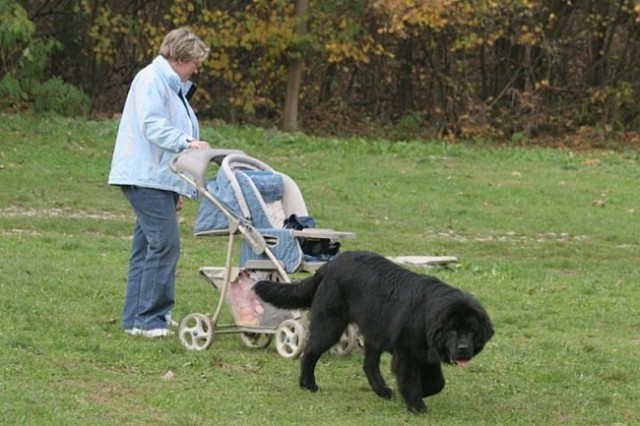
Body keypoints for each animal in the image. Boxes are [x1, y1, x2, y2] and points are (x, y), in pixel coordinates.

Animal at [252, 250, 492, 412]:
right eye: (452, 330)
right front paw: (416, 404)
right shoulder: (406, 352)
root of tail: (329, 265)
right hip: (331, 323)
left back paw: (382, 390)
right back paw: (308, 384)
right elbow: (410, 379)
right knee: (310, 352)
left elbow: (437, 383)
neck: (426, 315)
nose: (463, 348)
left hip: (374, 329)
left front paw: (413, 394)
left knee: (369, 364)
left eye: (471, 330)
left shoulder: (427, 354)